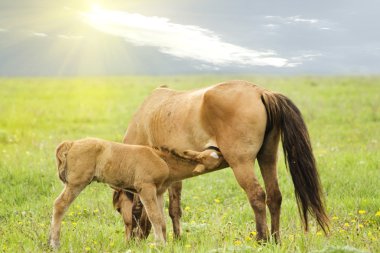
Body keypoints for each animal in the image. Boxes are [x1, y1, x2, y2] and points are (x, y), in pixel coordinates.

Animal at [113, 80, 330, 242]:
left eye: (119, 209)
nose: (131, 241)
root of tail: (261, 92)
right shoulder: (172, 174)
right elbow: (174, 207)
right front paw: (177, 238)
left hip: (241, 164)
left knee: (257, 196)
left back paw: (262, 239)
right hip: (267, 158)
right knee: (274, 196)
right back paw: (276, 240)